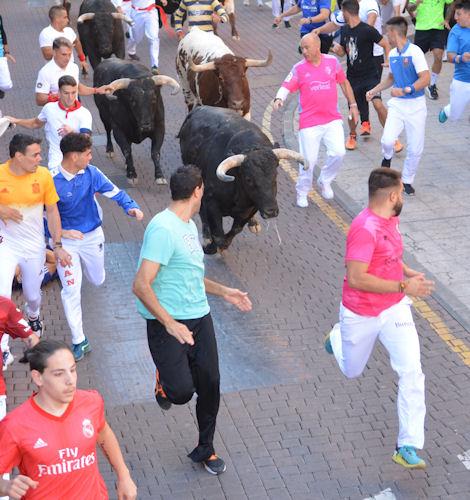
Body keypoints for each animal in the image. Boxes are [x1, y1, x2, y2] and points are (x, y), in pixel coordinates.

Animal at [177, 106, 304, 254]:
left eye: (275, 175)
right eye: (249, 179)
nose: (271, 211)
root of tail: (199, 108)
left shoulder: (252, 208)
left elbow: (235, 230)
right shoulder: (211, 202)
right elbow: (218, 233)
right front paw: (210, 246)